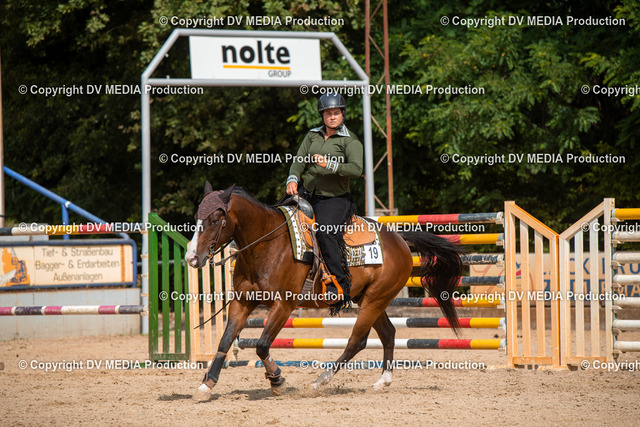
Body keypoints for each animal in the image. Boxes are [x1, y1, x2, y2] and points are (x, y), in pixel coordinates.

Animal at [185, 183, 463, 401]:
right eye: (197, 217)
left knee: (357, 341)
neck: (267, 245)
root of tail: (400, 239)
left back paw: (320, 381)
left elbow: (262, 345)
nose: (191, 257)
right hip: (368, 299)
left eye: (214, 220)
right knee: (388, 333)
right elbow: (225, 340)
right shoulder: (242, 302)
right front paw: (206, 385)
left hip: (376, 299)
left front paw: (277, 381)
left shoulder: (283, 305)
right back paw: (382, 381)